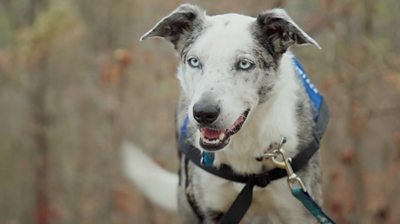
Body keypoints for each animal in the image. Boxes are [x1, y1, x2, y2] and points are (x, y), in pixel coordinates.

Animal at [123, 3, 326, 224]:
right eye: (194, 61)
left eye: (244, 64)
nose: (203, 113)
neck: (245, 141)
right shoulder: (209, 210)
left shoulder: (300, 211)